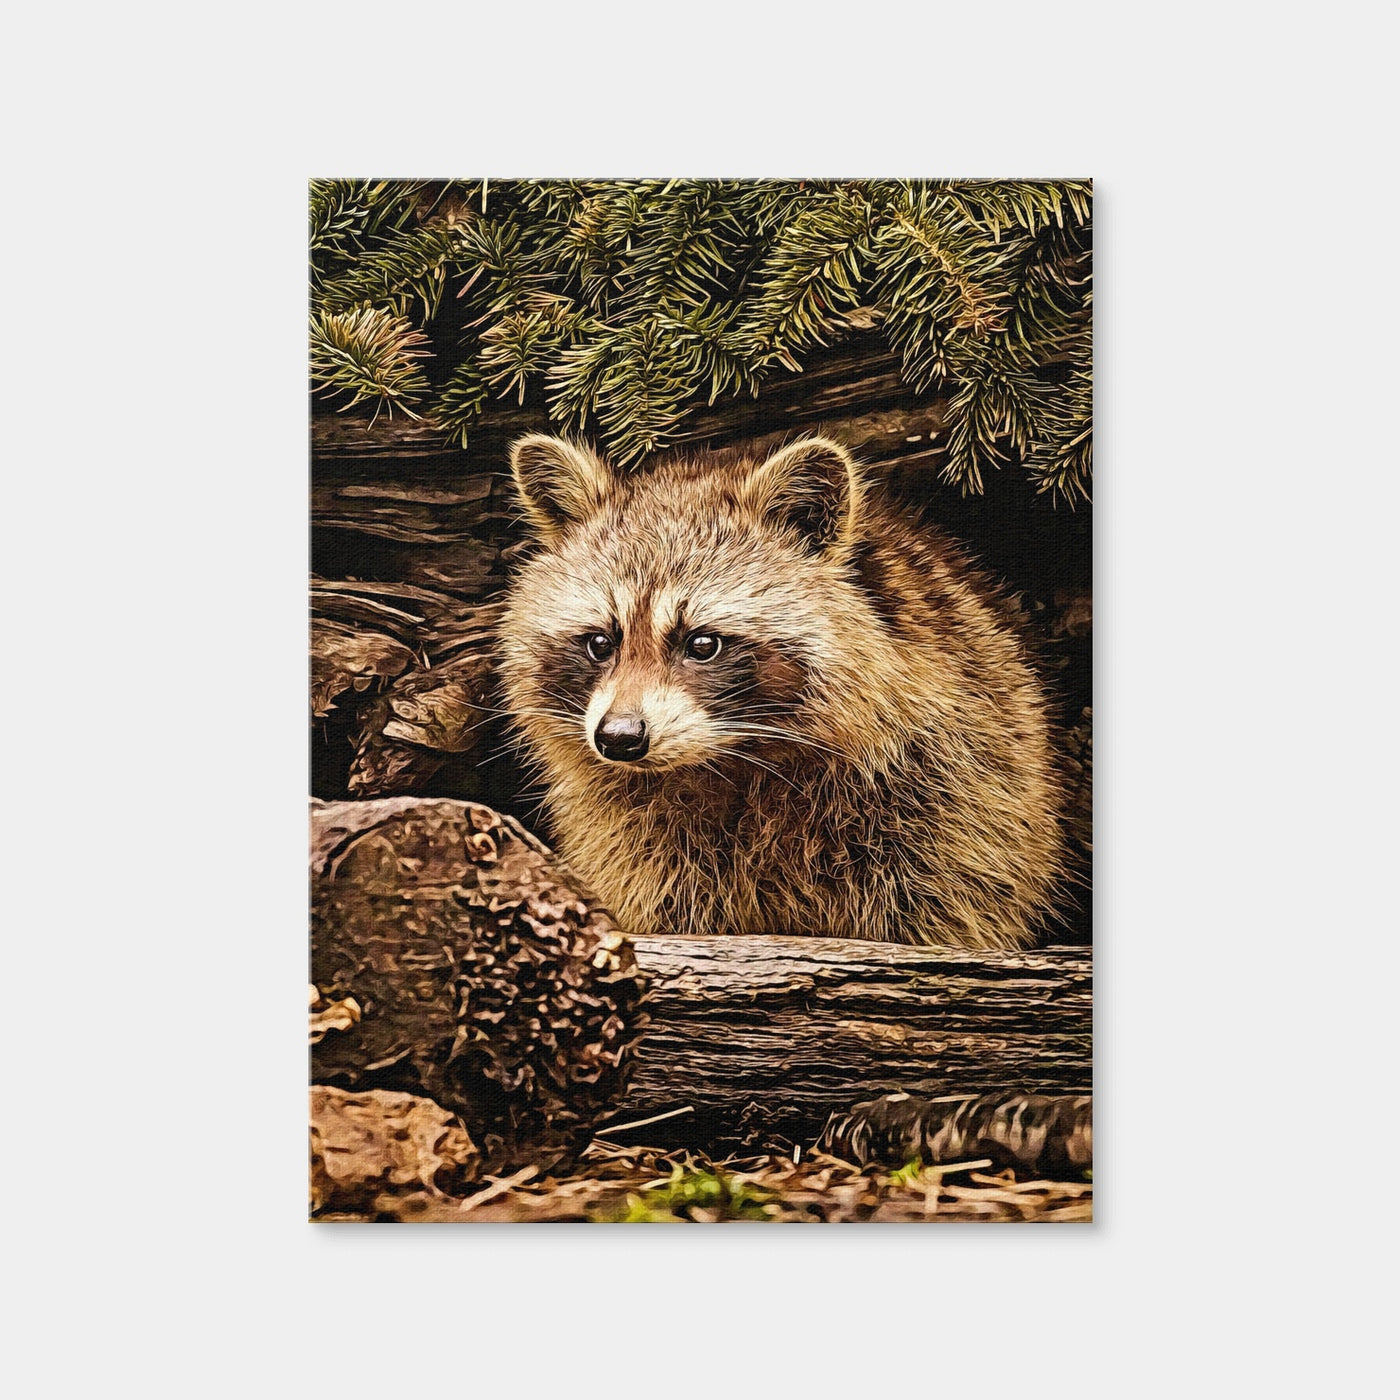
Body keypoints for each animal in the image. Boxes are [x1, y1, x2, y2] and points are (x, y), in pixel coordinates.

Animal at [498, 433, 1066, 950]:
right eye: (600, 642)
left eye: (702, 643)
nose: (619, 737)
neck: (733, 761)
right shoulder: (634, 838)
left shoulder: (949, 797)